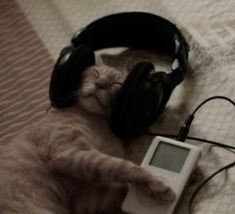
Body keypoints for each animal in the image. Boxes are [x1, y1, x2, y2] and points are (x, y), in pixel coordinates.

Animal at [0, 64, 175, 213]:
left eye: (115, 83)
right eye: (96, 73)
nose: (99, 84)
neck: (94, 120)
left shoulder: (86, 198)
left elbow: (117, 180)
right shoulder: (68, 152)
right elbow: (122, 166)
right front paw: (158, 186)